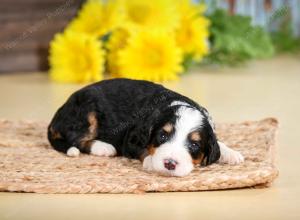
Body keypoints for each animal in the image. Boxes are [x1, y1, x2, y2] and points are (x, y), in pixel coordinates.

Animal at [47, 78, 244, 176]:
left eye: (194, 145)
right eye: (162, 136)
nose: (169, 164)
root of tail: (58, 114)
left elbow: (217, 142)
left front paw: (232, 154)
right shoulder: (131, 139)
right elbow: (143, 150)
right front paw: (150, 161)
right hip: (87, 113)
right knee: (76, 140)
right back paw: (103, 147)